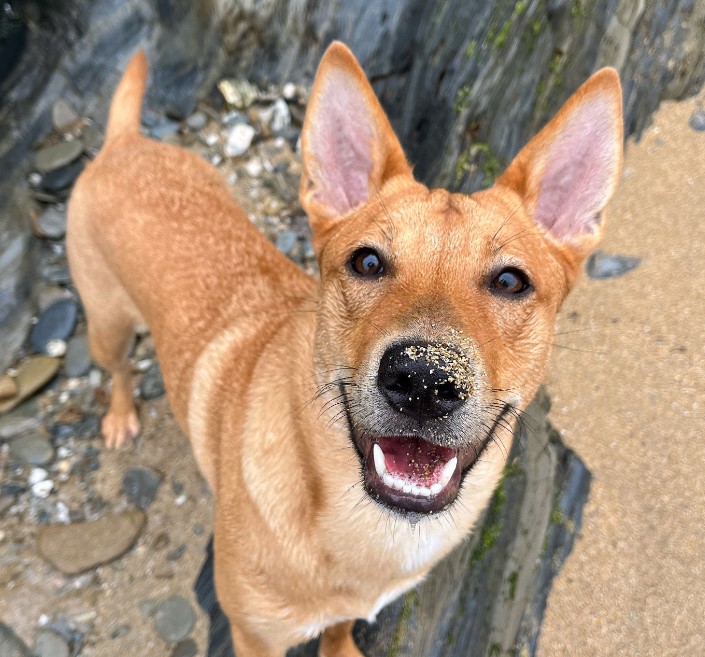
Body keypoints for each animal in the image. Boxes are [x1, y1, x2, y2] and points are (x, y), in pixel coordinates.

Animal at [69, 43, 620, 652]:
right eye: (368, 262)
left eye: (510, 281)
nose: (424, 379)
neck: (367, 531)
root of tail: (124, 142)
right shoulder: (252, 636)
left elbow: (337, 628)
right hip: (106, 323)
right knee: (118, 368)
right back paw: (120, 416)